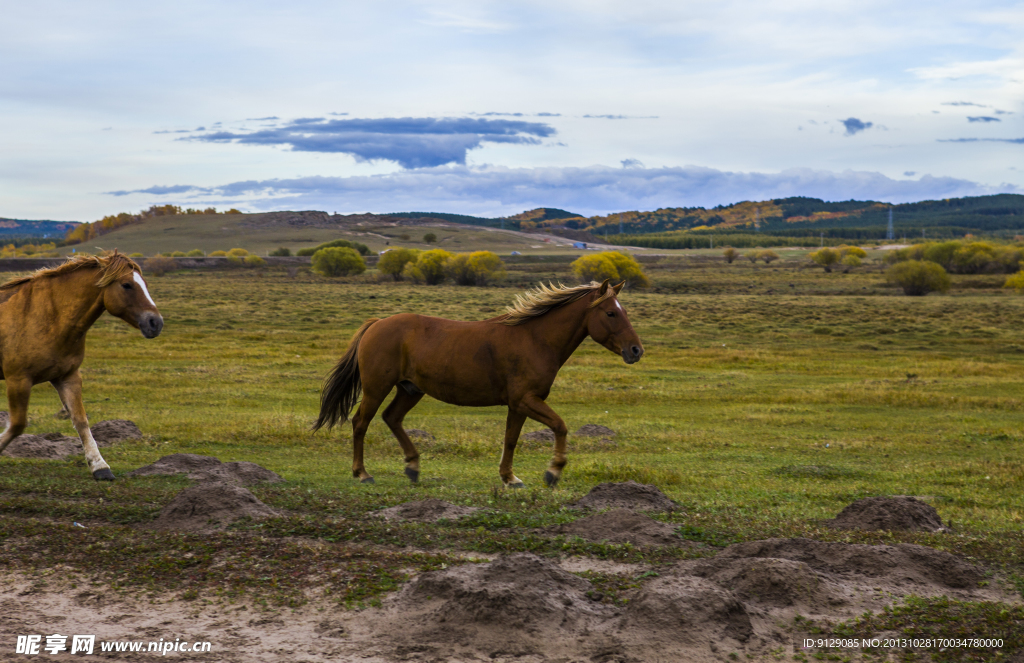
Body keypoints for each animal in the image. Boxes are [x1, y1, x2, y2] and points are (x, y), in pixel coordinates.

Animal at [0, 252, 162, 479]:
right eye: (126, 285)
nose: (156, 323)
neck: (46, 317)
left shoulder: (68, 377)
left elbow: (81, 421)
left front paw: (100, 466)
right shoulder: (18, 380)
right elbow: (17, 424)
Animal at [315, 278, 643, 487]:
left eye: (624, 311)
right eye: (611, 313)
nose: (636, 350)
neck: (535, 338)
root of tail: (377, 324)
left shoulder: (518, 404)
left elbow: (510, 439)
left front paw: (510, 478)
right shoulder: (526, 400)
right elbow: (560, 426)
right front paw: (553, 472)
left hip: (410, 390)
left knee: (391, 418)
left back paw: (413, 467)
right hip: (376, 388)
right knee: (361, 423)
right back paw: (363, 474)